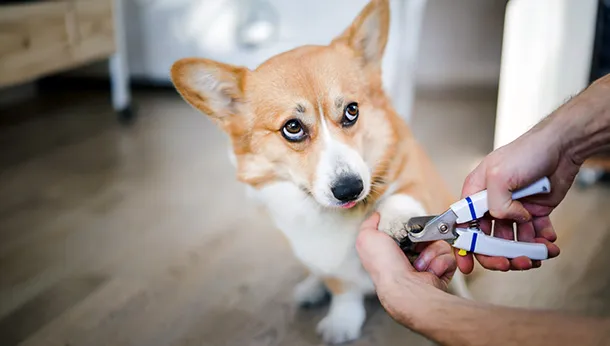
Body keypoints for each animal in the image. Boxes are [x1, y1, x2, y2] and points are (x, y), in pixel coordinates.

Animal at [171, 0, 470, 344]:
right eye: (292, 128)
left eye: (352, 111)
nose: (350, 189)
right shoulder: (320, 253)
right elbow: (342, 287)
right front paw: (342, 320)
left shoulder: (416, 175)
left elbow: (404, 195)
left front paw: (395, 220)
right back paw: (310, 288)